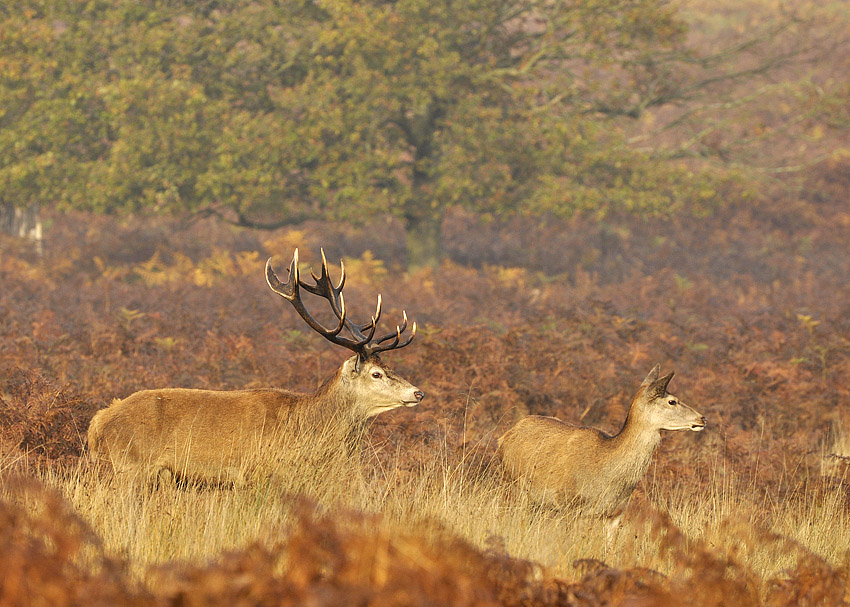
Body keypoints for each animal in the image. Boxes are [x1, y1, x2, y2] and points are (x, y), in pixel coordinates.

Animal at [88, 249, 422, 486]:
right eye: (376, 373)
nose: (418, 393)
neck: (305, 427)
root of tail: (98, 422)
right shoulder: (256, 472)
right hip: (129, 468)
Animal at [496, 366, 704, 532]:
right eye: (672, 401)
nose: (702, 418)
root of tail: (504, 437)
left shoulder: (616, 513)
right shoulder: (570, 504)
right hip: (515, 487)